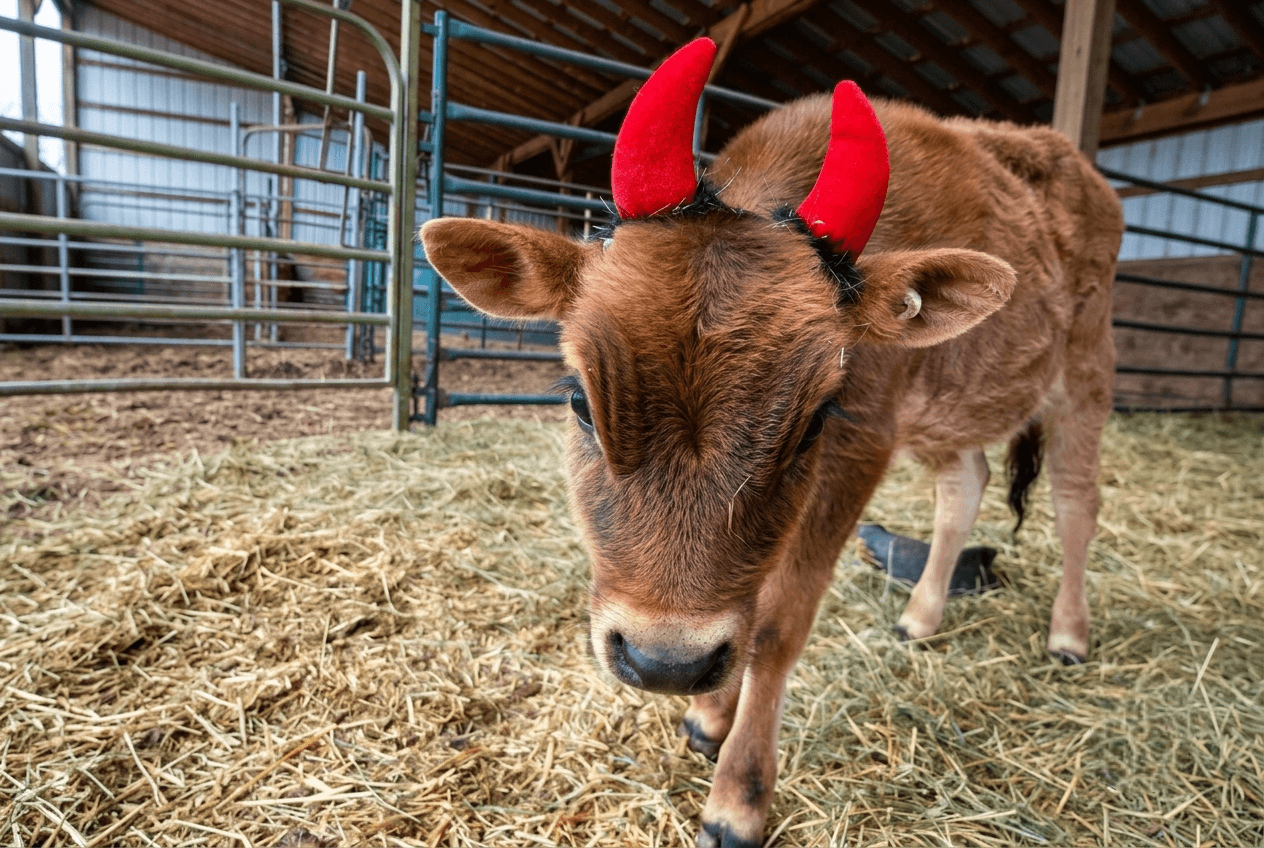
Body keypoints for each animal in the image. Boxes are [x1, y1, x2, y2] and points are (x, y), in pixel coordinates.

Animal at [421, 37, 1122, 848]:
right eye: (580, 401)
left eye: (815, 418)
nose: (664, 661)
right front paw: (707, 718)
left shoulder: (859, 447)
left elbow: (777, 625)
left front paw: (738, 798)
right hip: (945, 418)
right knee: (965, 487)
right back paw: (920, 617)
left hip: (1083, 378)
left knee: (1076, 502)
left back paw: (1069, 634)